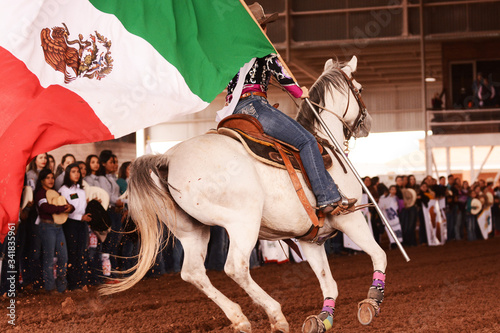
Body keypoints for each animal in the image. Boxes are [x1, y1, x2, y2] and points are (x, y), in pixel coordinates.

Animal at [103, 57, 388, 332]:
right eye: (359, 88)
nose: (368, 124)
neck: (325, 143)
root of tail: (167, 158)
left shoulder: (310, 239)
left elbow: (329, 284)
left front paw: (322, 320)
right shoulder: (349, 218)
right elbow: (379, 254)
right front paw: (372, 302)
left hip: (192, 230)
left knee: (193, 273)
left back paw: (239, 319)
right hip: (243, 222)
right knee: (235, 267)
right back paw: (276, 315)